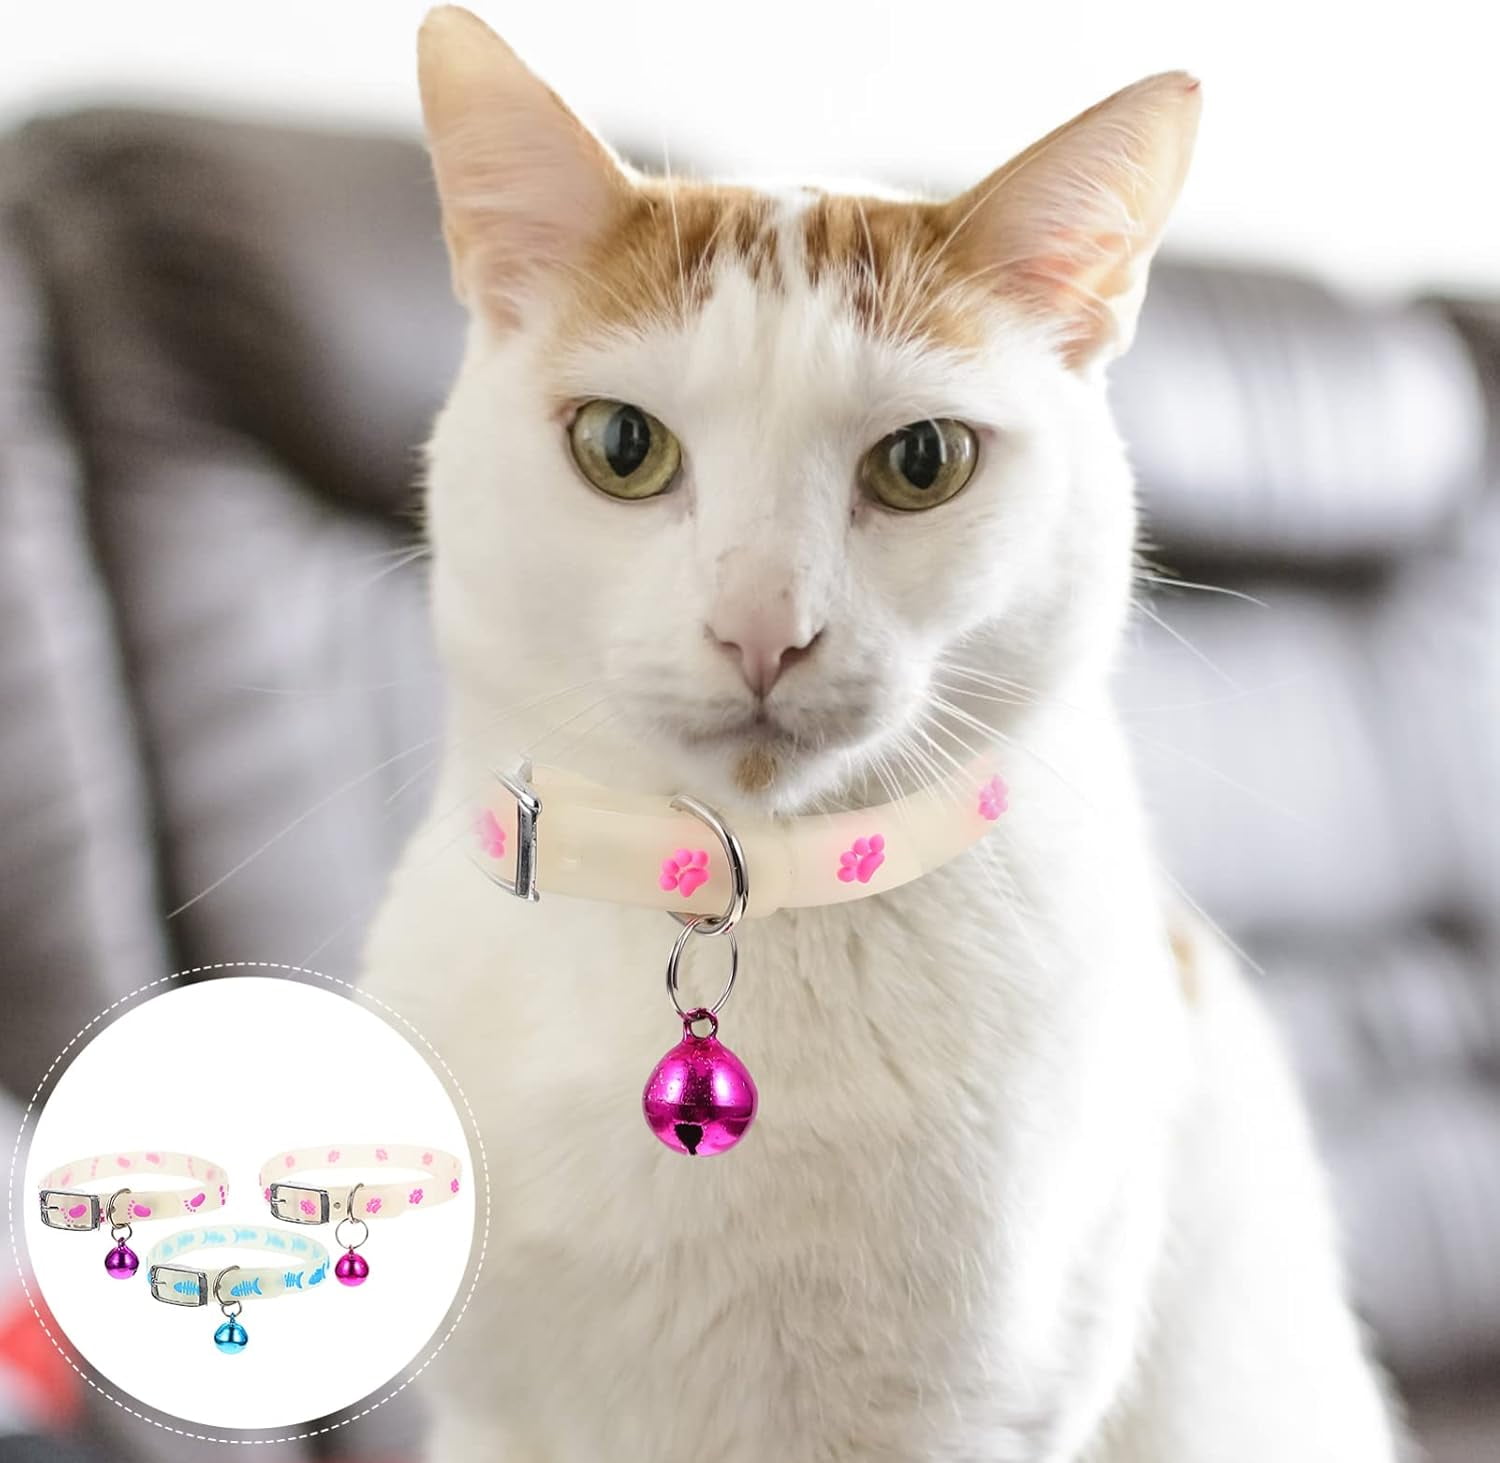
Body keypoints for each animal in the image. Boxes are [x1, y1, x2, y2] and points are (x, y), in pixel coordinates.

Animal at [361, 7, 1401, 1460]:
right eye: (622, 444)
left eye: (923, 462)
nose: (762, 626)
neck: (751, 897)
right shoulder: (498, 1422)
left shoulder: (975, 1415)